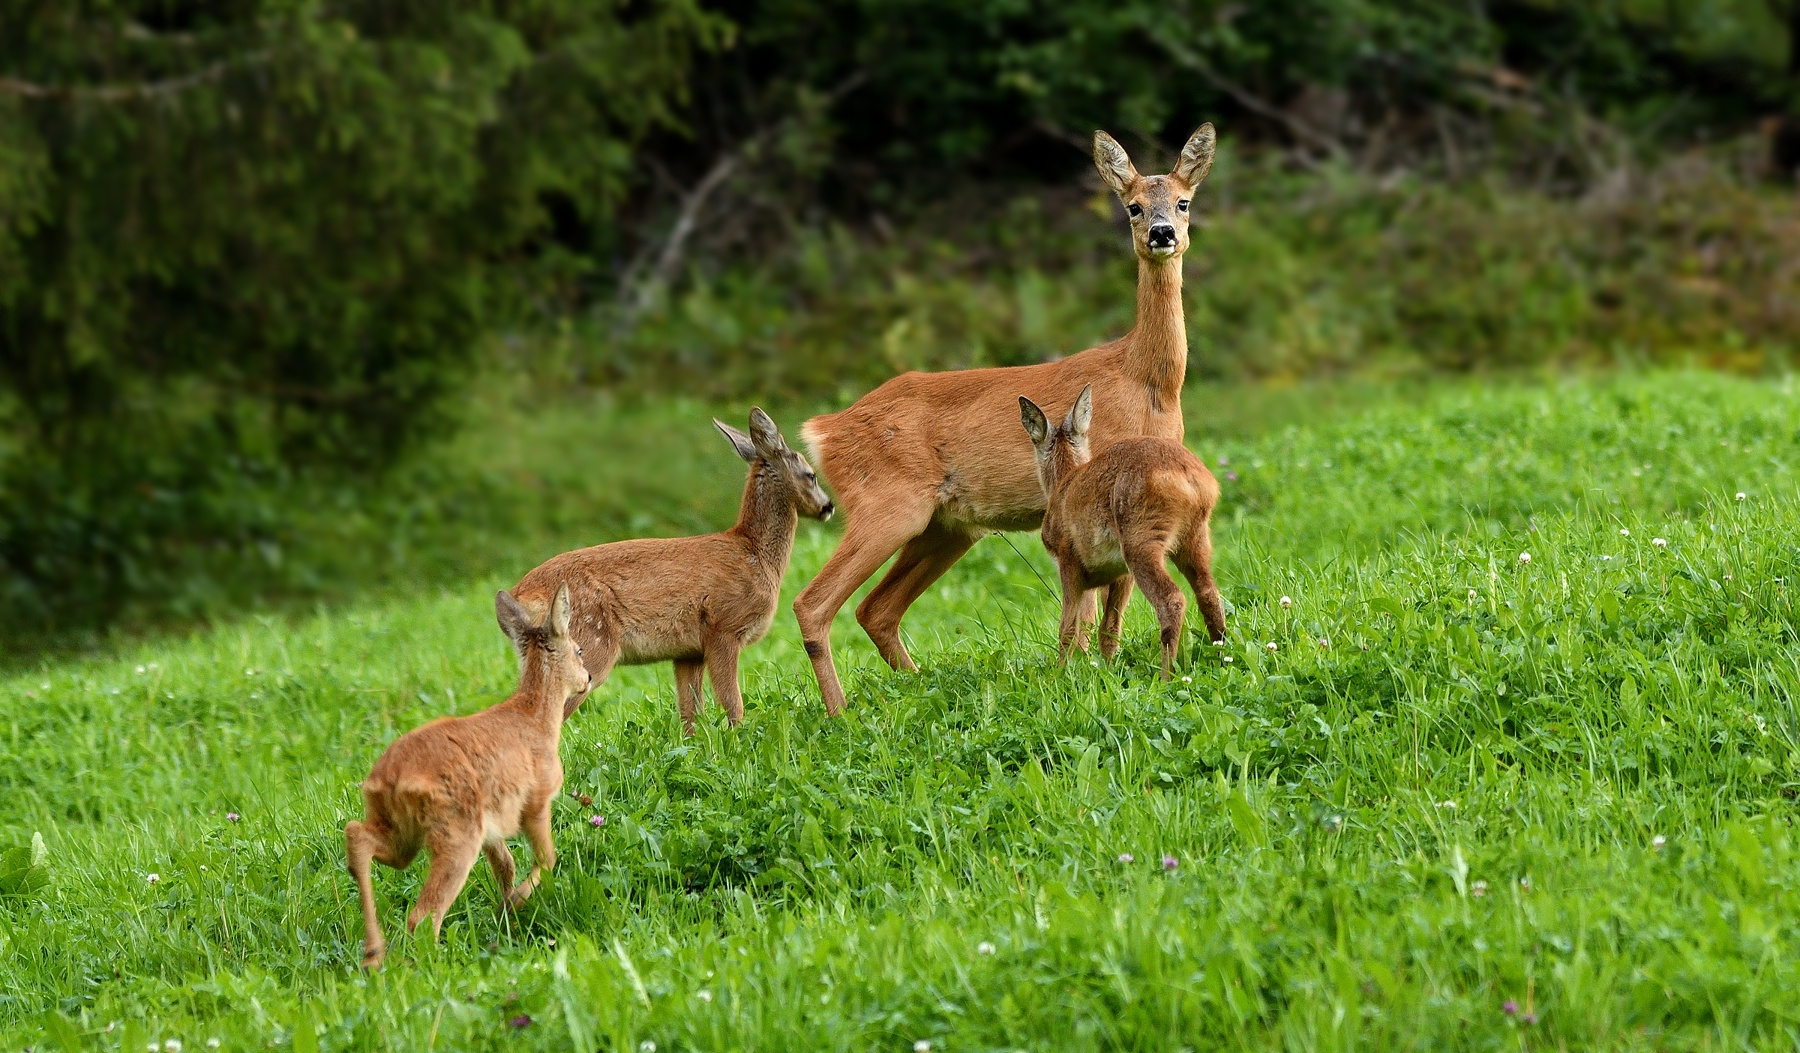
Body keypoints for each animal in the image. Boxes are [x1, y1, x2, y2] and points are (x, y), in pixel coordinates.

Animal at [351, 583, 597, 972]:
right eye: (579, 649)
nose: (587, 678)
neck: (537, 719)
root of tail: (389, 778)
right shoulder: (537, 799)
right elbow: (547, 858)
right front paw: (515, 903)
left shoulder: (491, 825)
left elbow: (505, 866)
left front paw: (508, 912)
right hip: (455, 830)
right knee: (422, 914)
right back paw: (437, 964)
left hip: (403, 832)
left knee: (357, 836)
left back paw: (373, 954)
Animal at [514, 408, 835, 730]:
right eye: (811, 474)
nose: (828, 506)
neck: (755, 554)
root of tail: (521, 592)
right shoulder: (724, 627)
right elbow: (733, 704)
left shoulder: (688, 651)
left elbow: (691, 714)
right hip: (591, 642)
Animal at [1029, 383, 1224, 673]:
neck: (1064, 483)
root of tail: (1192, 479)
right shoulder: (1119, 573)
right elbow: (1107, 628)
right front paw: (1107, 672)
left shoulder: (1068, 558)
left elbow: (1068, 627)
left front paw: (1060, 674)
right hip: (1194, 537)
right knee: (1209, 594)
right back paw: (1223, 657)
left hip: (1140, 538)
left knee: (1172, 599)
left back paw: (1167, 675)